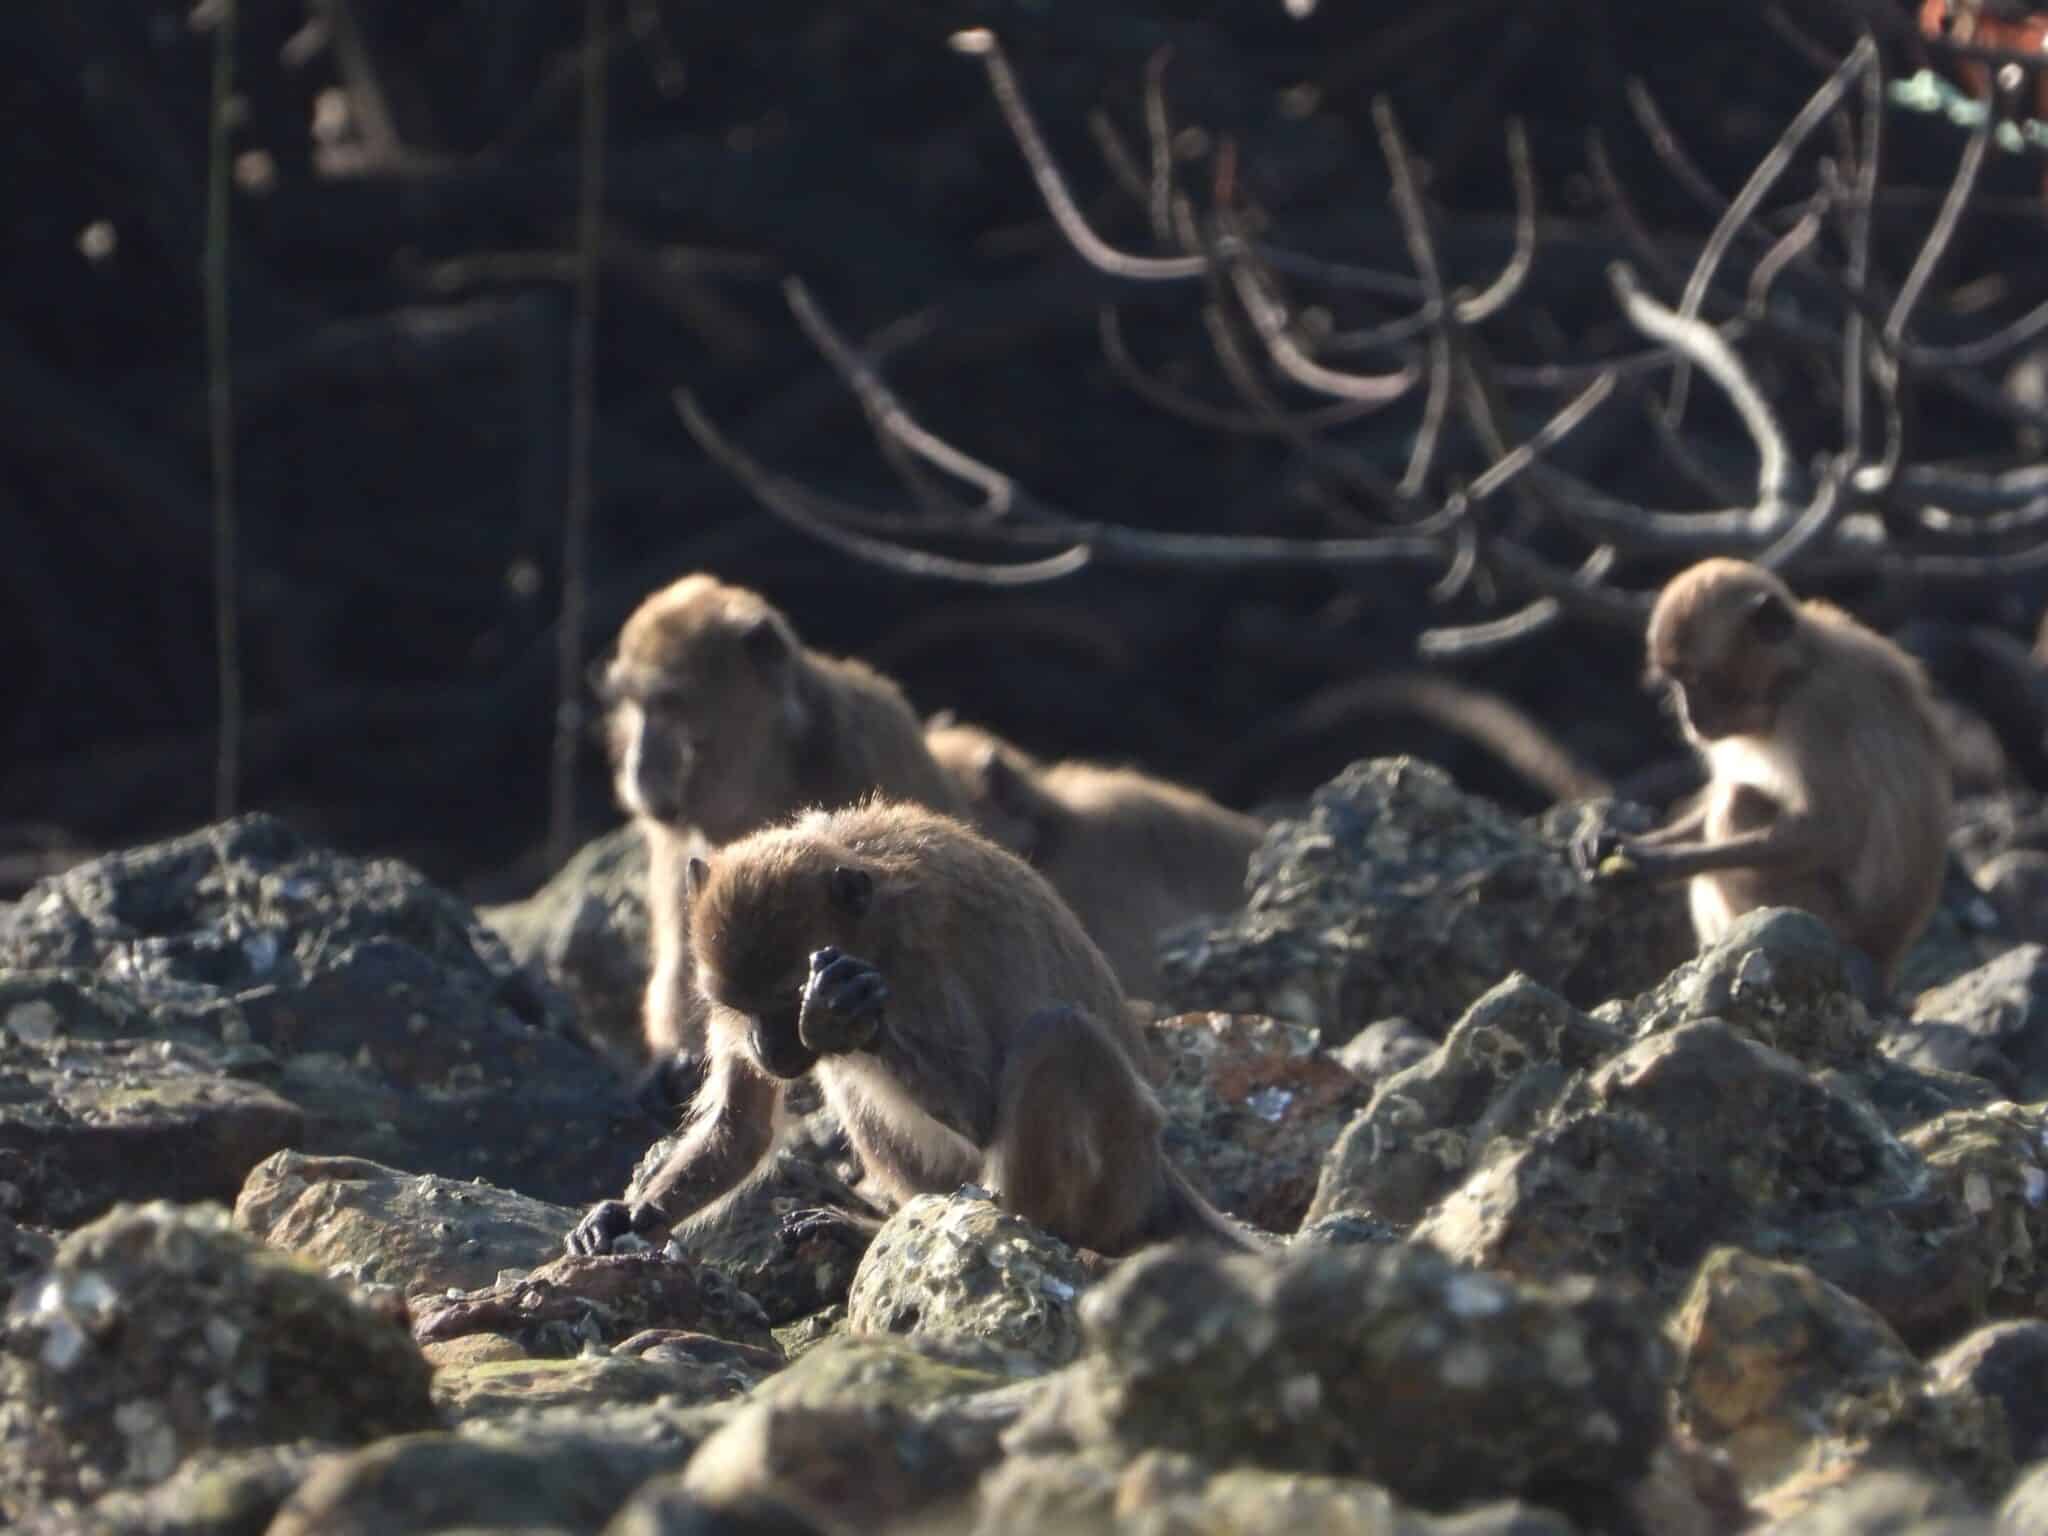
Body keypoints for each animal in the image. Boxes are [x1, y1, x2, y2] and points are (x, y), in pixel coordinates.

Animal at [565, 794, 1261, 1261]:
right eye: (739, 1006)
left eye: (785, 1003)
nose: (764, 1045)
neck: (871, 924)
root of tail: (1155, 1175)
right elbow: (742, 1127)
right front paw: (630, 1217)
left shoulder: (920, 965)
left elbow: (982, 1107)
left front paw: (838, 1015)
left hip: (1114, 1172)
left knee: (1057, 1036)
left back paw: (1024, 1228)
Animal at [1572, 561, 1957, 987]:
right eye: (1675, 681)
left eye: (1697, 679)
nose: (1687, 716)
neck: (1792, 676)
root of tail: (1886, 956)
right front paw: (1610, 840)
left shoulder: (1819, 708)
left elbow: (1831, 832)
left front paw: (1661, 863)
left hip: (1832, 922)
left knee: (1737, 802)